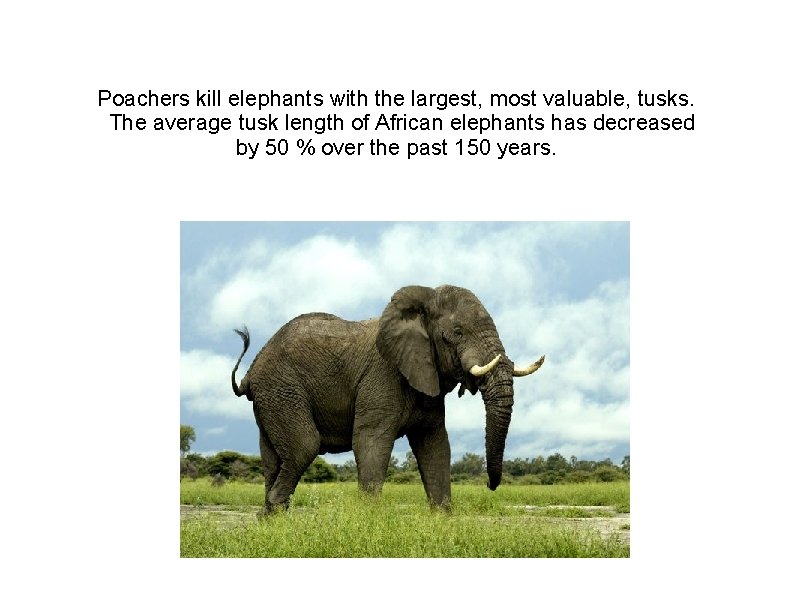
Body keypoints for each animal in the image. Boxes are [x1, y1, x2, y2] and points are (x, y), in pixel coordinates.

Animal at [231, 284, 544, 512]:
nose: (490, 485)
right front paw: (369, 522)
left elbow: (436, 446)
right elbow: (370, 441)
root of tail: (251, 370)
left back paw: (271, 523)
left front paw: (443, 518)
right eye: (457, 332)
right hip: (281, 389)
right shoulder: (382, 375)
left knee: (272, 458)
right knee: (304, 447)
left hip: (272, 397)